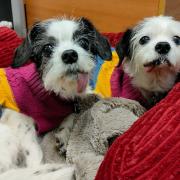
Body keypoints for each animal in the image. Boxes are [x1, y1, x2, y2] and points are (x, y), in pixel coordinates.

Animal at [0, 16, 112, 179]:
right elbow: (34, 152)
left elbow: (72, 113)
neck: (52, 91)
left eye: (83, 42)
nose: (70, 54)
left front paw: (63, 134)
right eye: (47, 48)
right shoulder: (20, 119)